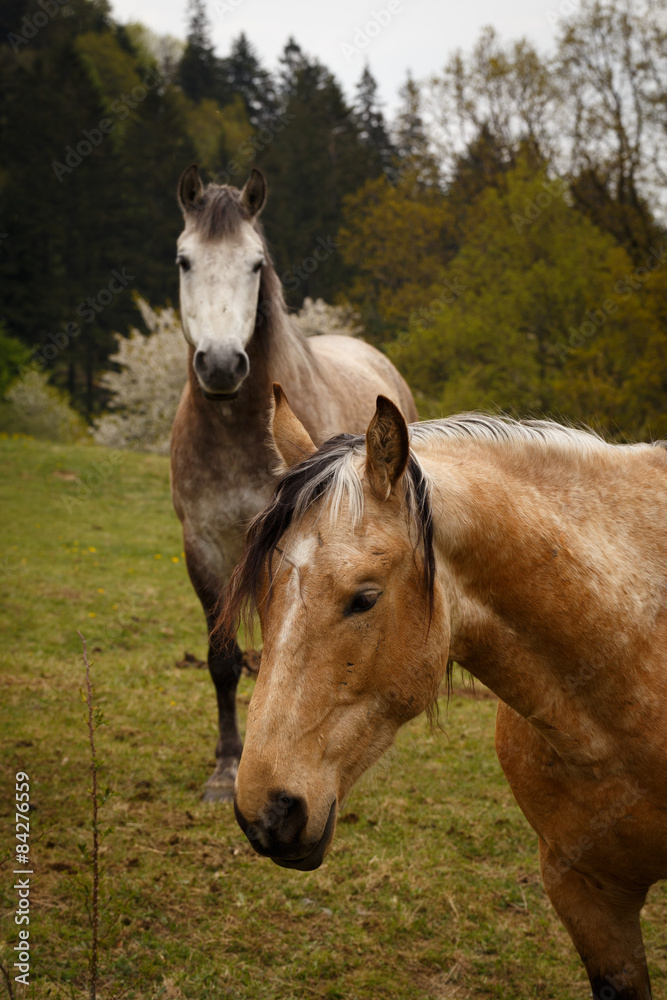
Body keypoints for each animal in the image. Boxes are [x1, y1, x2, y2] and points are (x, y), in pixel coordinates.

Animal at [170, 166, 418, 801]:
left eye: (256, 263)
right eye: (185, 260)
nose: (222, 365)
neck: (236, 428)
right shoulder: (203, 545)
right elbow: (224, 659)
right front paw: (226, 766)